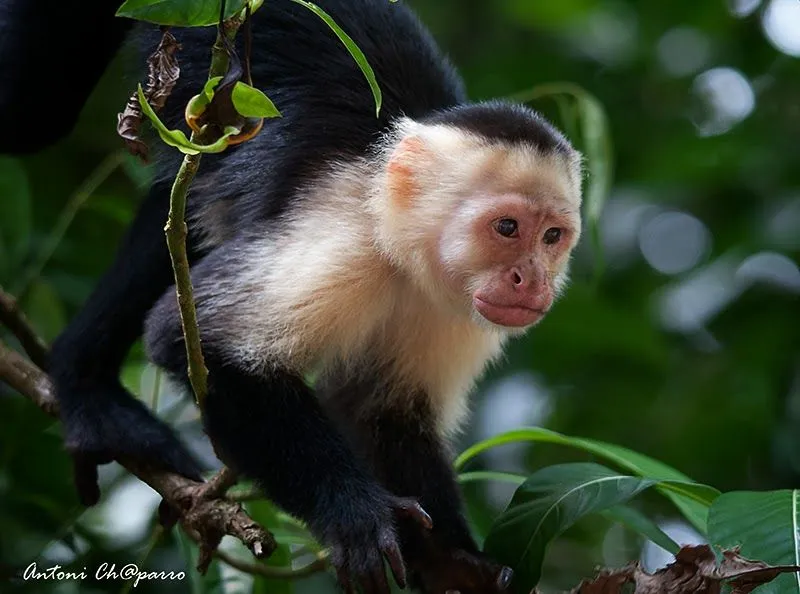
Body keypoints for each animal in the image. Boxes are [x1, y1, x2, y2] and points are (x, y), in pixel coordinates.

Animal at [0, 1, 580, 592]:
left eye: (552, 237)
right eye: (507, 227)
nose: (532, 280)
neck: (398, 246)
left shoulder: (454, 310)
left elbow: (383, 411)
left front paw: (447, 558)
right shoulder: (342, 240)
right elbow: (188, 340)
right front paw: (355, 515)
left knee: (179, 208)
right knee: (33, 121)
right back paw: (88, 391)